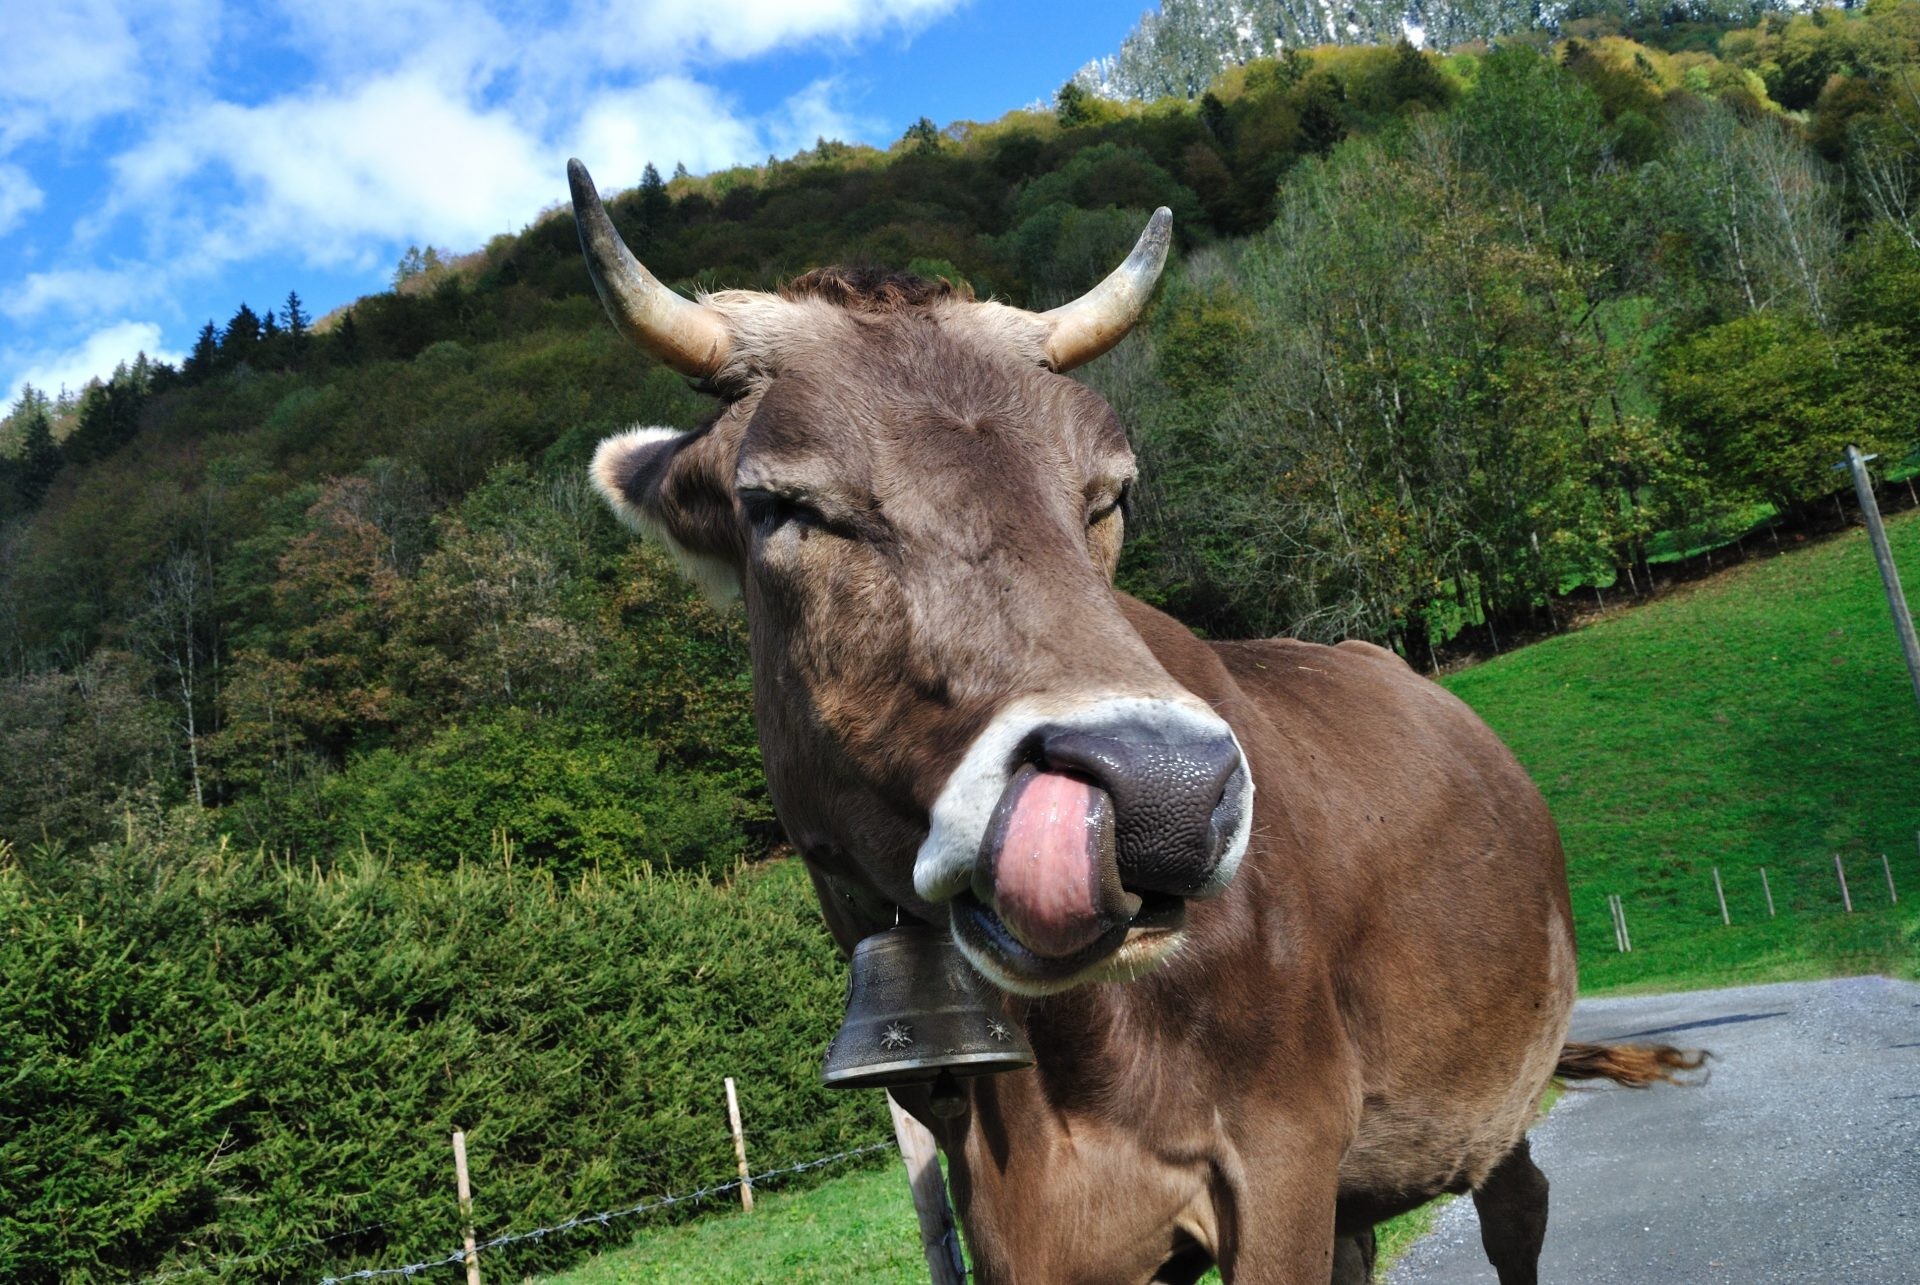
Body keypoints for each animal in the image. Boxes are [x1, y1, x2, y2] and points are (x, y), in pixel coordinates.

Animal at [566, 158, 1697, 1284]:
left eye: (1107, 496)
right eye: (783, 506)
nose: (1167, 793)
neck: (1058, 1069)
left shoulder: (1284, 1147)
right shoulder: (1009, 1218)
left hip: (1493, 1090)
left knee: (1517, 1207)